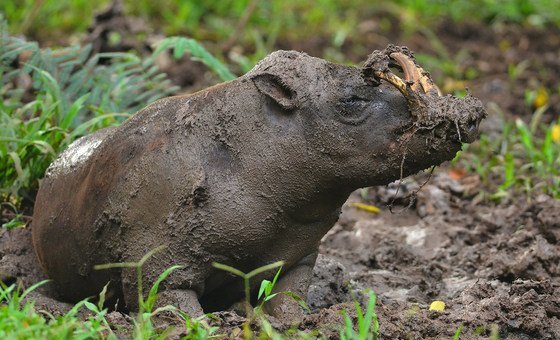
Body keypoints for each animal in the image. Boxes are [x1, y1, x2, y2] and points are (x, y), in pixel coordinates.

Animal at [31, 46, 486, 320]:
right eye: (352, 101)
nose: (470, 114)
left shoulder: (300, 255)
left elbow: (289, 299)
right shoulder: (157, 266)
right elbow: (178, 308)